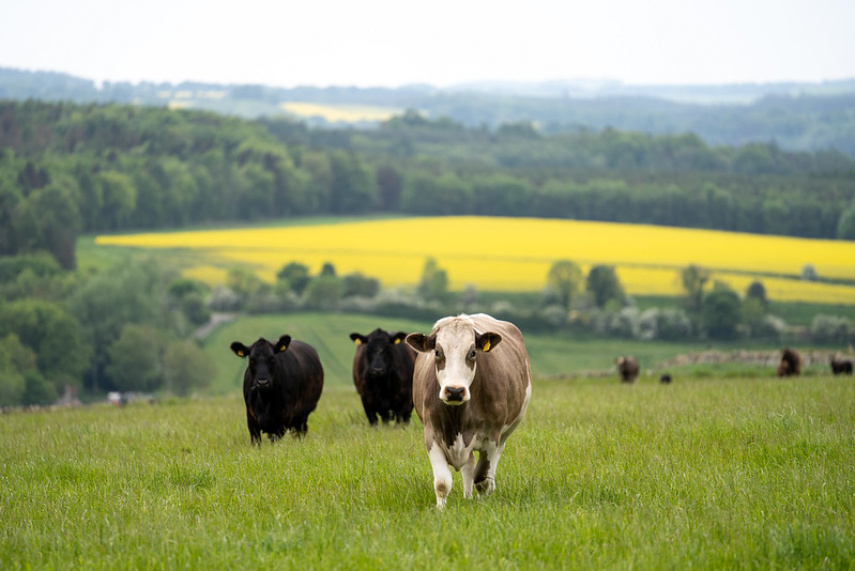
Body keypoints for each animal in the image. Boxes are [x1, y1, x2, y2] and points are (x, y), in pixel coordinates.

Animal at [406, 313, 532, 509]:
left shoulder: (492, 437)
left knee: (488, 468)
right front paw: (441, 510)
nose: (454, 390)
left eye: (472, 352)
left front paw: (483, 505)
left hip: (504, 434)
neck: (456, 417)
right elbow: (442, 482)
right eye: (437, 352)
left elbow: (482, 478)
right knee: (469, 465)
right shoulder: (431, 434)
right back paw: (467, 497)